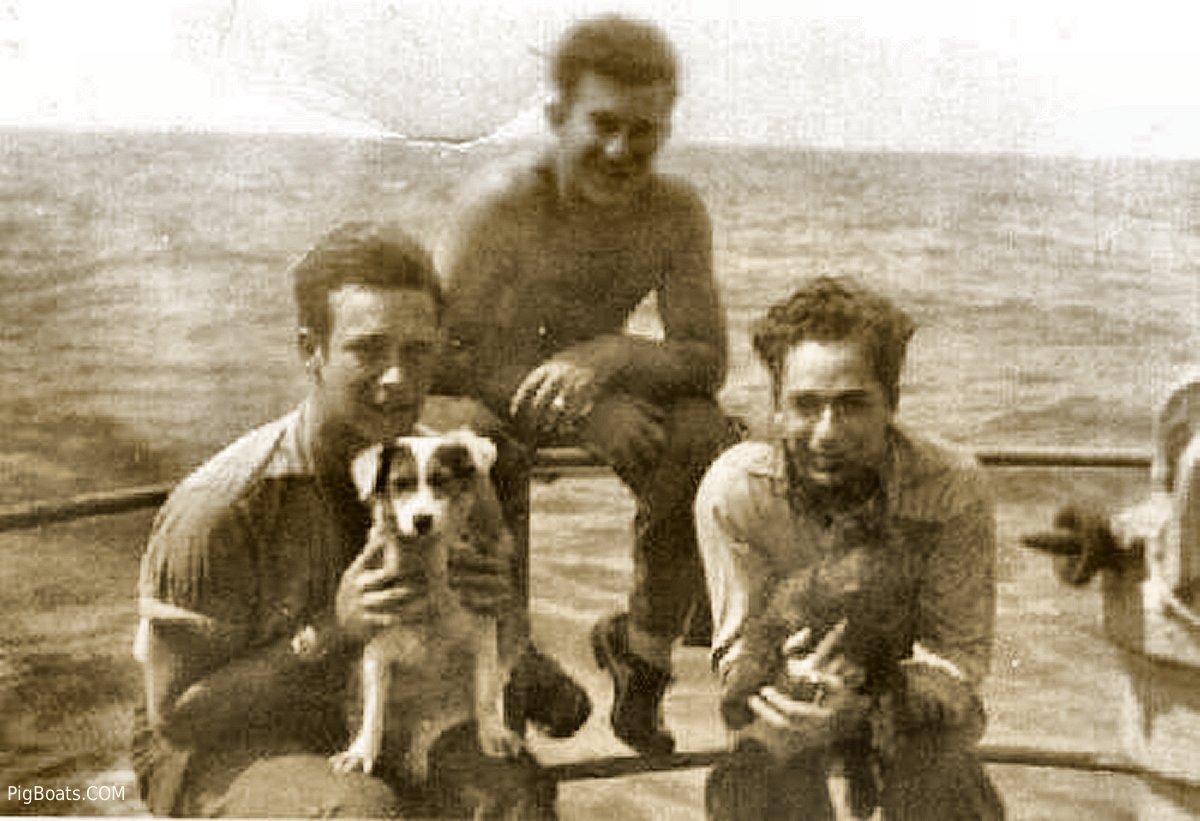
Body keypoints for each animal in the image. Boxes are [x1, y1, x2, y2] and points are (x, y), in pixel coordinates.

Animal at [328, 429, 520, 782]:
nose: (422, 520)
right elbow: (373, 713)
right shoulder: (377, 654)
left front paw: (493, 734)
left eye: (440, 481)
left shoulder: (483, 640)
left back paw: (418, 756)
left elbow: (485, 697)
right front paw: (361, 752)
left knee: (431, 726)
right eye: (400, 484)